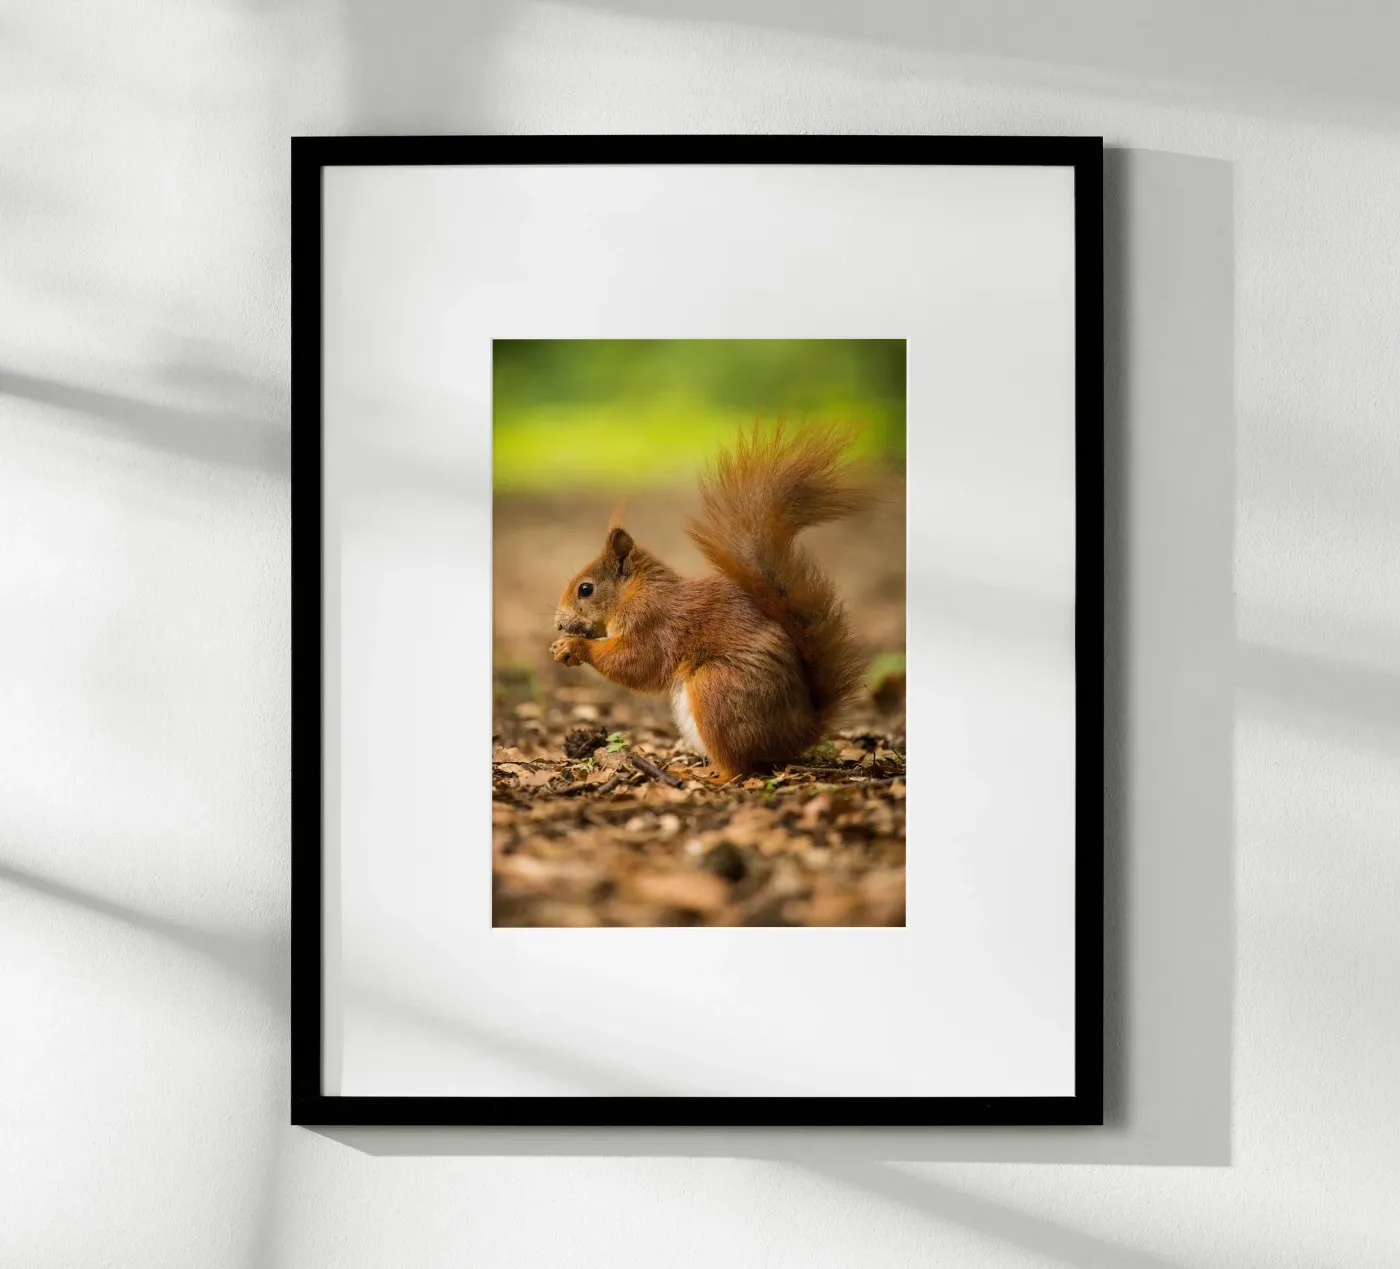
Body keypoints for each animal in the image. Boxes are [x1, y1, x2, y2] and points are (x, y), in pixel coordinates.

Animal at [549, 422, 870, 781]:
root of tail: (800, 732)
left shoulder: (653, 623)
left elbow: (636, 662)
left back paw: (702, 775)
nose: (559, 624)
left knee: (738, 768)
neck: (636, 592)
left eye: (585, 589)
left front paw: (574, 647)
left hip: (716, 688)